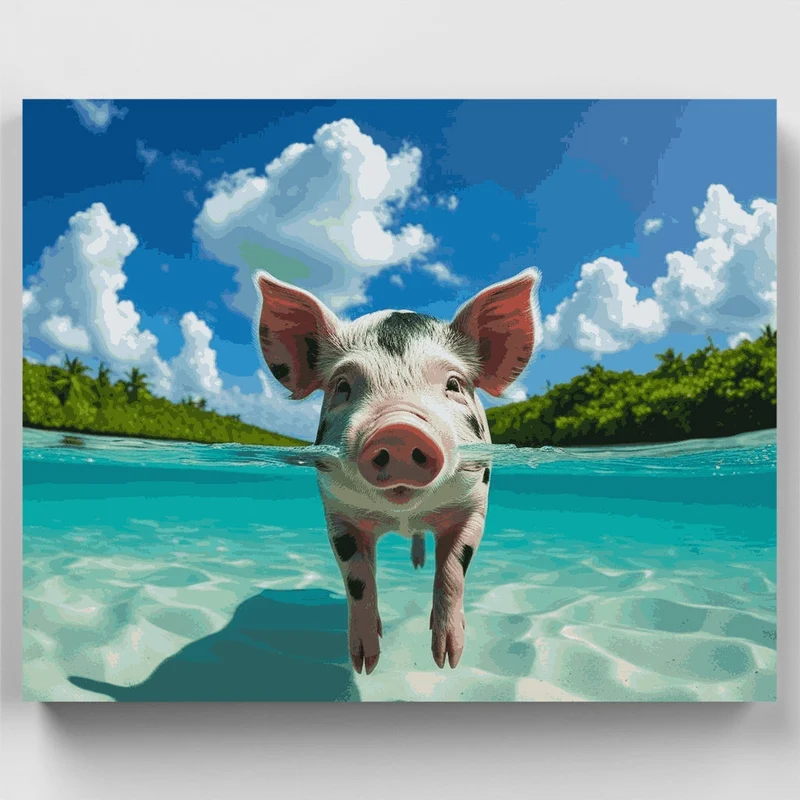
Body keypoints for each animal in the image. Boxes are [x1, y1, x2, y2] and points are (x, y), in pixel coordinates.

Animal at [254, 269, 538, 674]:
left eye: (453, 384)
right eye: (342, 386)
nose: (399, 429)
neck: (403, 515)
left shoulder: (474, 505)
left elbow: (454, 570)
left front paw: (447, 660)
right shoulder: (337, 513)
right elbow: (357, 579)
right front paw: (365, 662)